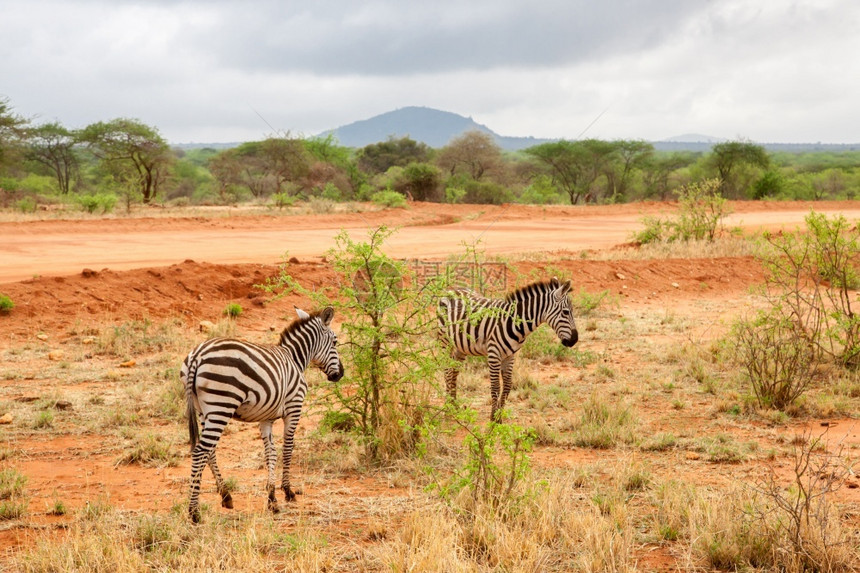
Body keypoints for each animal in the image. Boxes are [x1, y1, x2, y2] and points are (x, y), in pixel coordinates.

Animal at [181, 306, 342, 520]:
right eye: (335, 342)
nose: (340, 374)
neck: (295, 359)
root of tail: (197, 355)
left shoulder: (266, 418)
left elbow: (270, 452)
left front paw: (272, 497)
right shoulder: (294, 407)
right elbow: (288, 448)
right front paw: (288, 491)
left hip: (203, 409)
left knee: (209, 451)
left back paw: (226, 495)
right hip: (221, 405)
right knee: (201, 451)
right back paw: (194, 512)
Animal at [436, 278, 576, 420]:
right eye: (566, 312)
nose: (574, 340)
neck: (514, 322)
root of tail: (453, 289)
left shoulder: (510, 355)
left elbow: (508, 385)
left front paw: (499, 417)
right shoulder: (493, 354)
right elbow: (495, 386)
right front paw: (493, 418)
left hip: (461, 346)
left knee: (454, 371)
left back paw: (454, 406)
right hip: (444, 340)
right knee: (447, 371)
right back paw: (448, 409)